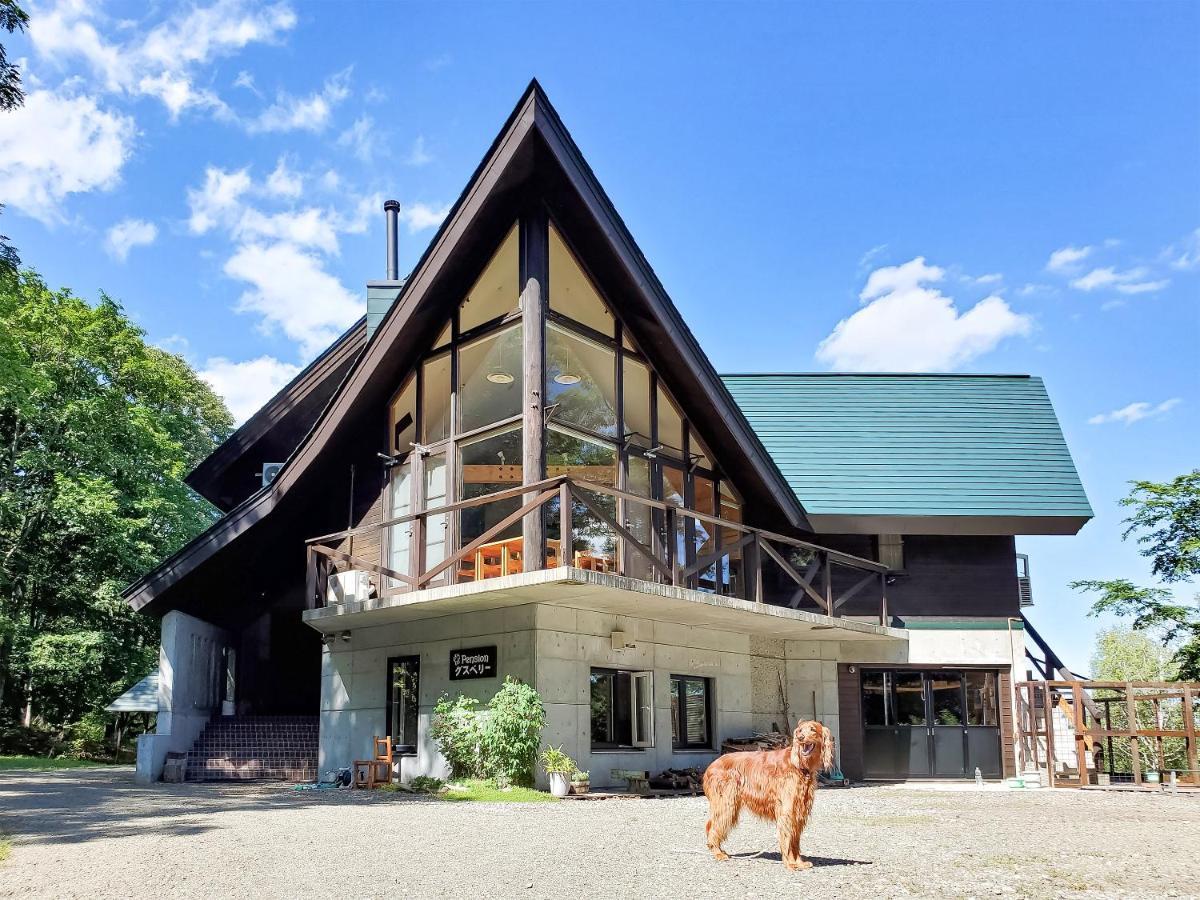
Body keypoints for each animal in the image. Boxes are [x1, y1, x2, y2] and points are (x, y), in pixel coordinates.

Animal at [700, 720, 835, 873]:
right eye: (800, 730)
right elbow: (788, 839)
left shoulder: (799, 811)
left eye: (812, 729)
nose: (800, 738)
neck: (799, 765)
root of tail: (711, 766)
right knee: (713, 827)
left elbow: (795, 841)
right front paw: (790, 863)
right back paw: (718, 853)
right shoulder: (787, 811)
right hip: (726, 804)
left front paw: (799, 862)